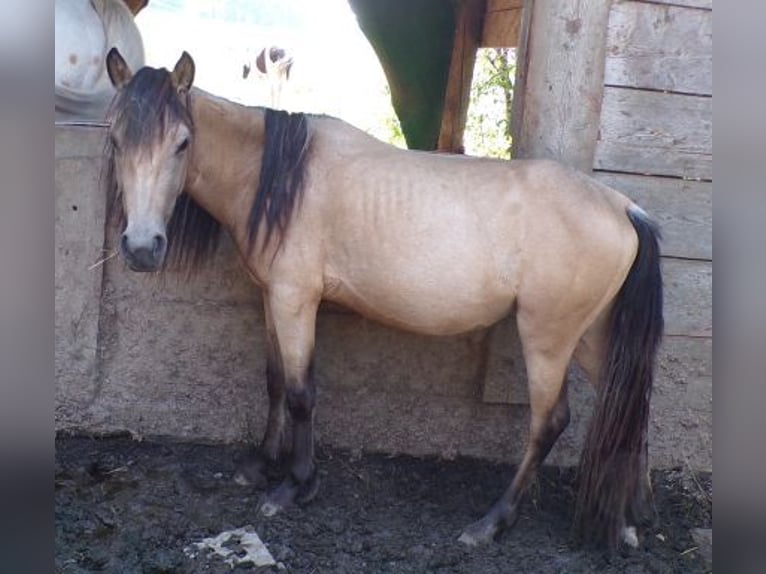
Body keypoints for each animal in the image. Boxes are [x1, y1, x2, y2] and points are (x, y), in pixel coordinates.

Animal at [102, 50, 664, 552]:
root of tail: (623, 207)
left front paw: (294, 486)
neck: (283, 178)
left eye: (182, 142)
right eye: (115, 137)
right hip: (589, 337)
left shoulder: (295, 300)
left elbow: (301, 391)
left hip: (547, 339)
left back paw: (492, 523)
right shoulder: (272, 299)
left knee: (550, 422)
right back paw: (633, 516)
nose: (141, 248)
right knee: (629, 401)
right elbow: (275, 381)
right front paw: (261, 465)